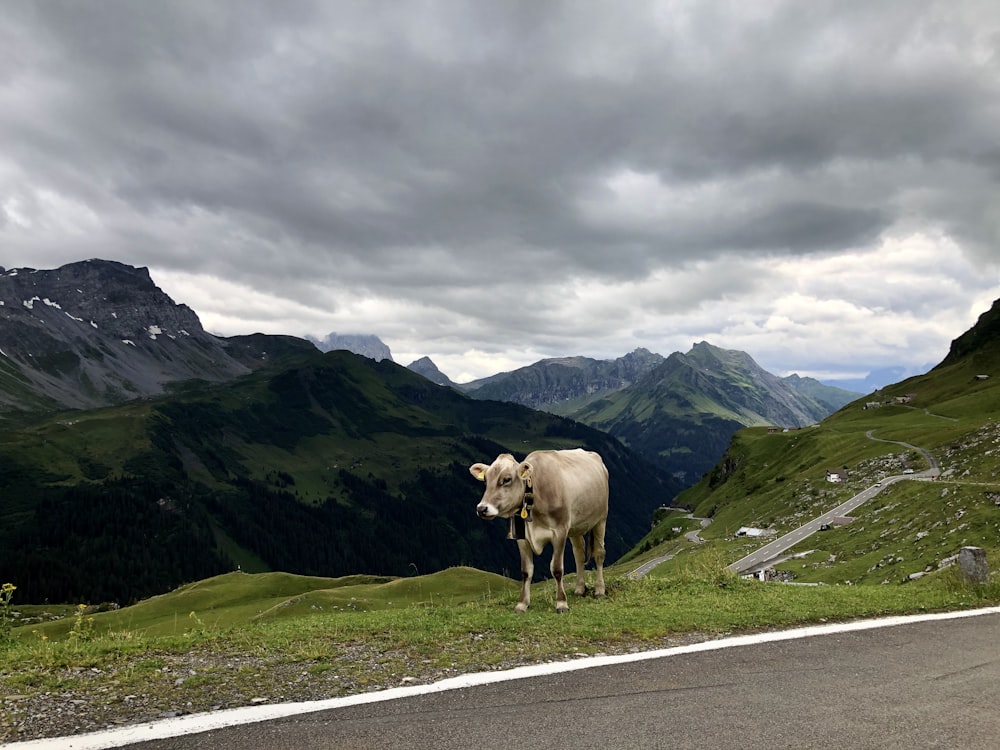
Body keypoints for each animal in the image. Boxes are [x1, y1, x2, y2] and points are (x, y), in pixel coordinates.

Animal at [470, 450, 608, 612]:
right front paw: (522, 604)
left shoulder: (560, 532)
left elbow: (557, 569)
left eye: (507, 479)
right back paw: (580, 589)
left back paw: (600, 590)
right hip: (575, 527)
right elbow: (526, 571)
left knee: (599, 553)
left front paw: (561, 603)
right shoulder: (522, 537)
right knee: (579, 554)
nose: (481, 508)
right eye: (485, 479)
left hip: (601, 519)